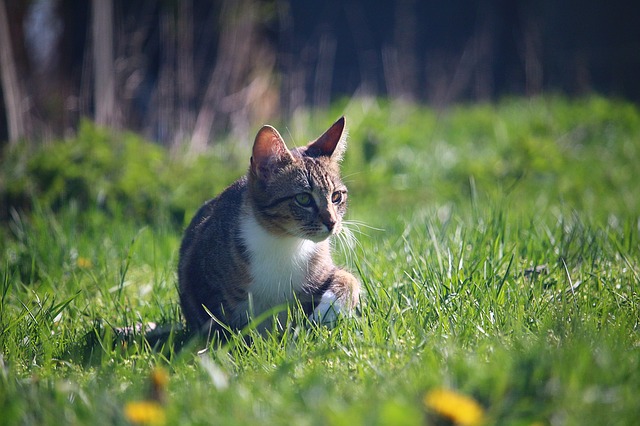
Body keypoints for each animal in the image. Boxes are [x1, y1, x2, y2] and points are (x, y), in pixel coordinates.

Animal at [178, 116, 360, 336]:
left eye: (336, 197)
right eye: (303, 199)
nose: (332, 223)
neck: (284, 242)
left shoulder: (321, 269)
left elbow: (350, 278)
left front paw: (328, 309)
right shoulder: (197, 276)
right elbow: (216, 326)